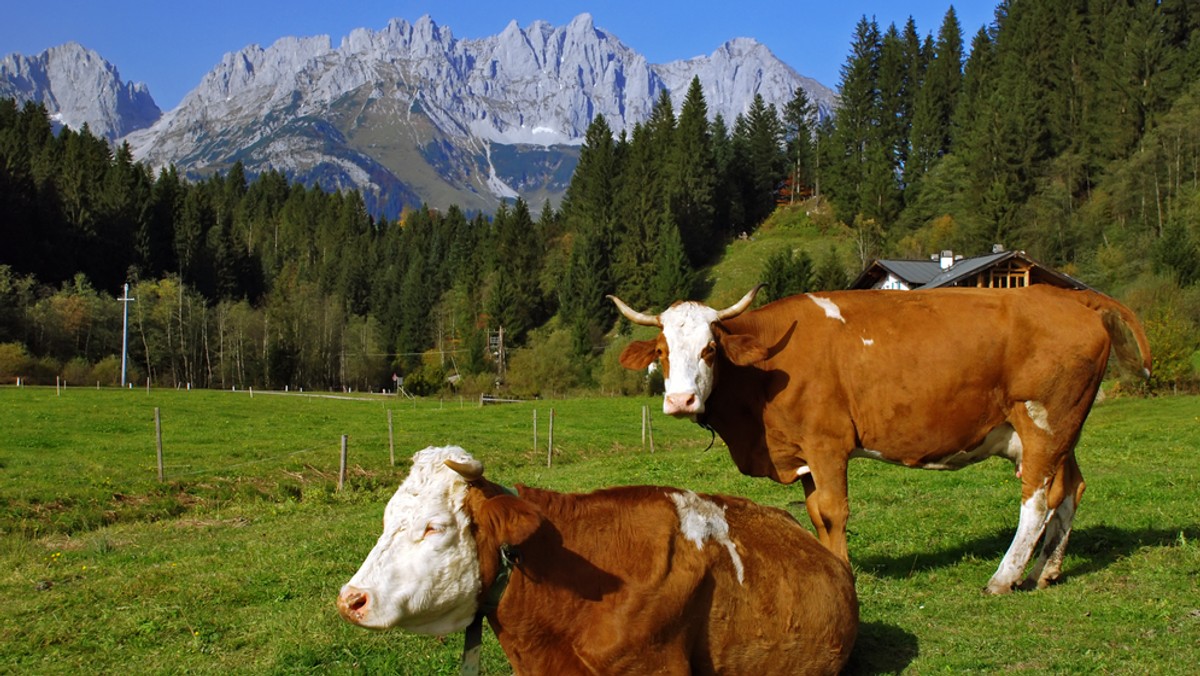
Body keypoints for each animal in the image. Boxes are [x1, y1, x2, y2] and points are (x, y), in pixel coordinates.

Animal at [609, 284, 1152, 593]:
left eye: (709, 349)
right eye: (662, 351)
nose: (681, 401)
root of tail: (1066, 294)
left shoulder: (827, 443)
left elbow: (833, 511)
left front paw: (844, 577)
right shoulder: (804, 453)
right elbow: (815, 514)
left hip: (1042, 423)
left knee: (1037, 500)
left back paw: (1004, 578)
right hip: (1064, 428)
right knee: (1070, 489)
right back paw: (1046, 571)